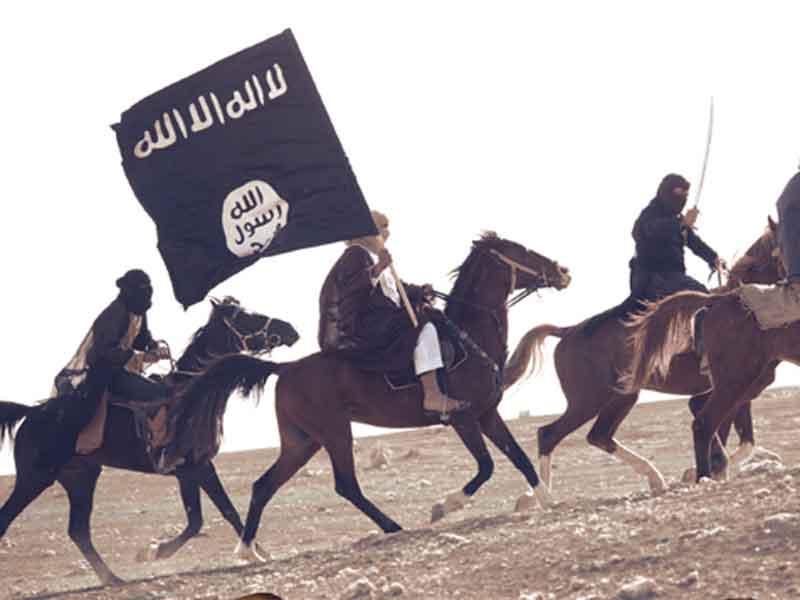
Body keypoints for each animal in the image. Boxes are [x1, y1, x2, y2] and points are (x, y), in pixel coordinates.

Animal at [0, 297, 299, 585]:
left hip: (80, 478)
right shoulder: (197, 467)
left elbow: (203, 518)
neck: (193, 396)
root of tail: (30, 413)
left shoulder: (189, 470)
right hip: (35, 478)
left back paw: (113, 578)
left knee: (78, 531)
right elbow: (219, 513)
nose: (290, 330)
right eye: (247, 317)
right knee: (10, 518)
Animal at [178, 233, 571, 561]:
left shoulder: (488, 414)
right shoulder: (463, 419)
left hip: (302, 442)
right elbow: (486, 466)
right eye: (522, 251)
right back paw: (393, 527)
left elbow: (518, 457)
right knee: (345, 485)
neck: (469, 337)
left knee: (264, 485)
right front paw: (443, 507)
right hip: (335, 433)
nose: (563, 271)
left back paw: (249, 552)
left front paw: (548, 500)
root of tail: (285, 368)